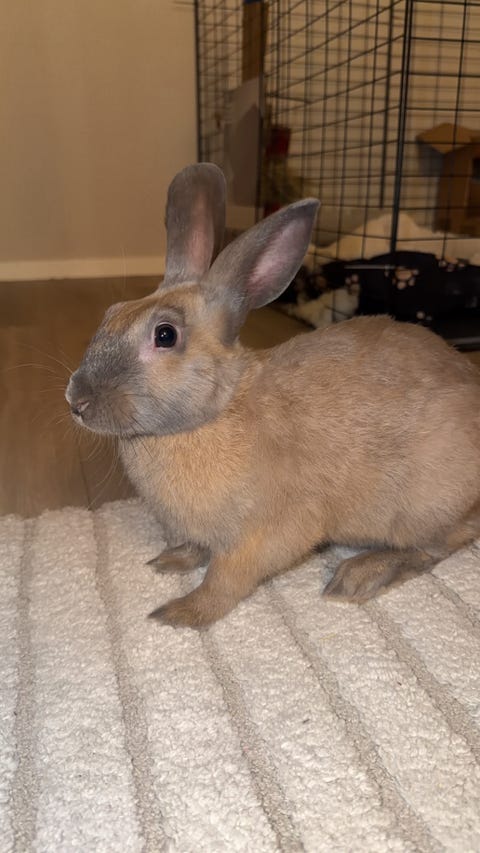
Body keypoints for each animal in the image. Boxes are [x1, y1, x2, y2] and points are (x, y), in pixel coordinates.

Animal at [66, 163, 480, 628]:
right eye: (110, 314)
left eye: (165, 335)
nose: (76, 401)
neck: (218, 410)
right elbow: (196, 549)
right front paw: (169, 561)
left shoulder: (270, 533)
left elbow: (226, 578)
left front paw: (181, 612)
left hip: (423, 507)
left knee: (440, 544)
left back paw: (358, 575)